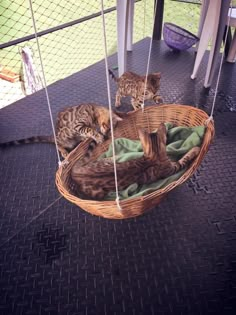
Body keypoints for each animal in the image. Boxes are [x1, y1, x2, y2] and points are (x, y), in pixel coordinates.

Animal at [70, 122, 199, 201]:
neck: (153, 155)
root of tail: (75, 173)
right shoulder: (171, 168)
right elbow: (183, 159)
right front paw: (195, 149)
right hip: (98, 192)